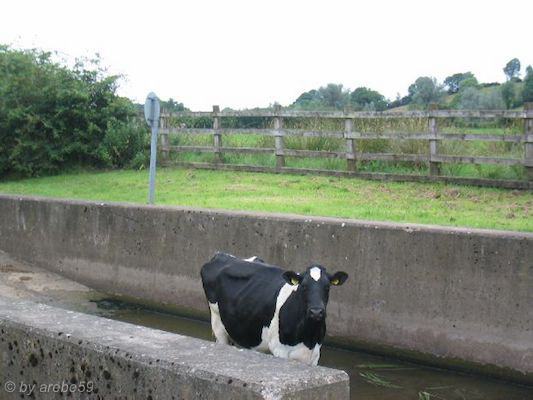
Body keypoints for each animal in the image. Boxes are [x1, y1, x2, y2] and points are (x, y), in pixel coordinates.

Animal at [200, 252, 348, 365]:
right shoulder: (279, 349)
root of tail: (222, 255)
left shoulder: (315, 355)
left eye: (327, 287)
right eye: (303, 286)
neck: (308, 337)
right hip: (218, 325)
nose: (316, 312)